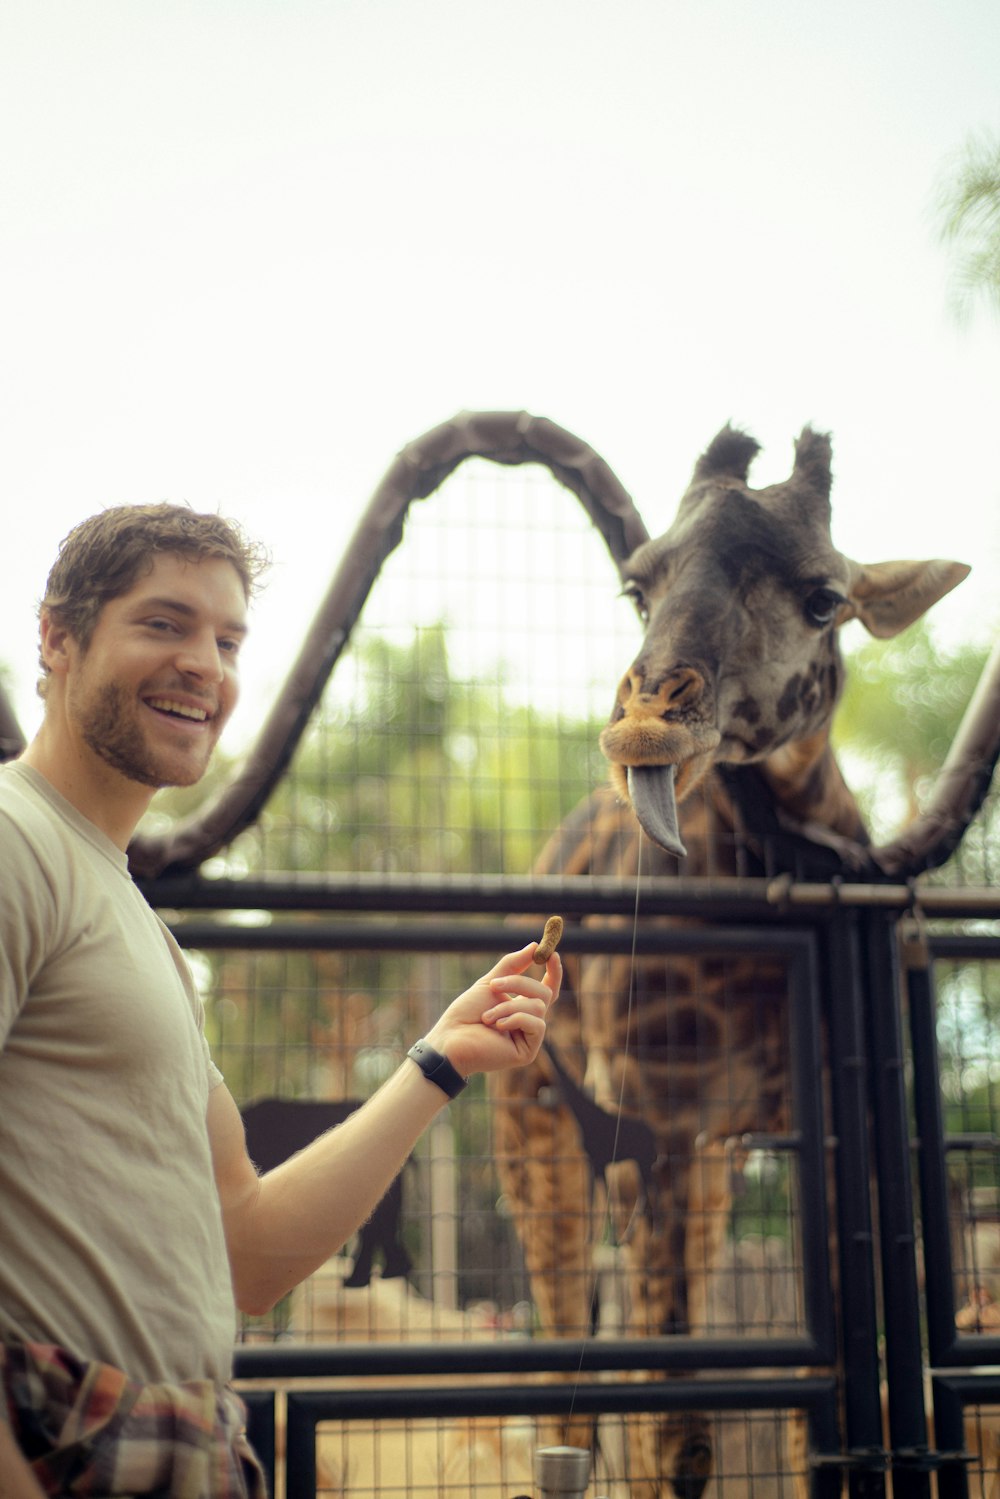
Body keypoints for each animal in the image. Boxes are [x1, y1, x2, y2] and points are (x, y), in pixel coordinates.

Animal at [491, 422, 971, 1499]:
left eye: (825, 597)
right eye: (638, 587)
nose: (645, 724)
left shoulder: (825, 1120)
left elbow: (827, 1403)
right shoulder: (654, 1114)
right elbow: (679, 1430)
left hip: (709, 1156)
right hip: (540, 1123)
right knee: (566, 1365)